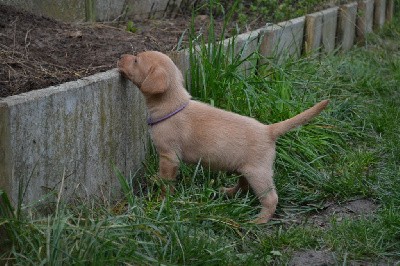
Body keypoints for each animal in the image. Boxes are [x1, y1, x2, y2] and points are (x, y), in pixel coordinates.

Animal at [117, 51, 330, 223]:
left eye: (135, 60)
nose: (120, 57)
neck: (173, 104)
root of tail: (268, 130)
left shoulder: (169, 157)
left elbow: (166, 182)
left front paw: (162, 201)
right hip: (244, 168)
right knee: (243, 185)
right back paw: (228, 193)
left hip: (258, 172)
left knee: (270, 198)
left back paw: (259, 220)